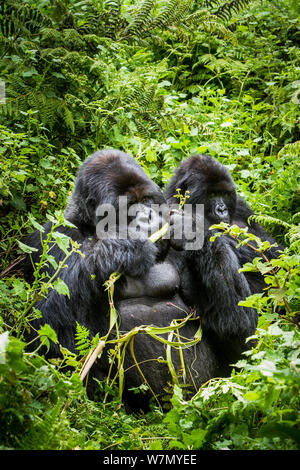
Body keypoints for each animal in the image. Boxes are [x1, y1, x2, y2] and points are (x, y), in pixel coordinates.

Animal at [23, 150, 258, 412]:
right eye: (129, 206)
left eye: (147, 200)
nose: (148, 216)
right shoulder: (54, 236)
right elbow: (46, 330)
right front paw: (121, 247)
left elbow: (238, 327)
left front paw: (192, 231)